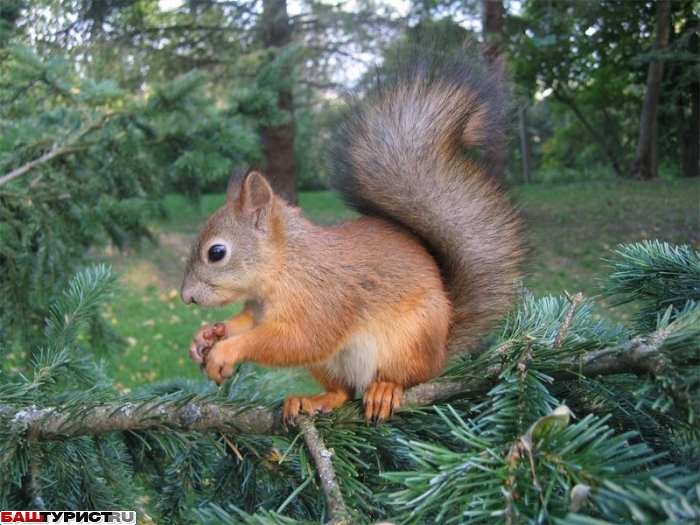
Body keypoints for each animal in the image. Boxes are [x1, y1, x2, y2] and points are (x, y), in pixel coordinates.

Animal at [180, 45, 524, 422]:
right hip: (329, 364)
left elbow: (295, 340)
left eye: (216, 253)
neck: (285, 266)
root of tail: (441, 351)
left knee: (407, 377)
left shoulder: (322, 301)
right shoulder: (258, 308)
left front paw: (226, 350)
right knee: (343, 391)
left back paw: (386, 390)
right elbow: (245, 322)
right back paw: (313, 400)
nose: (186, 297)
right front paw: (208, 335)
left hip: (408, 343)